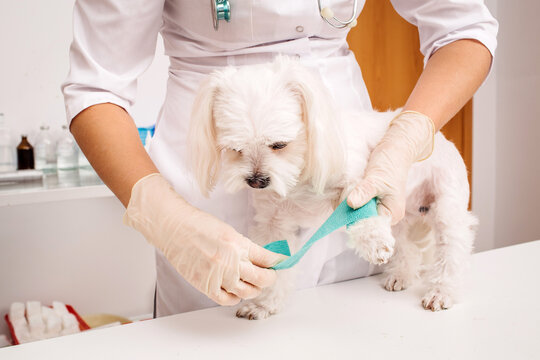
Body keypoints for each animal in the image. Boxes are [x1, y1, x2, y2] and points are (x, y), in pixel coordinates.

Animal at [189, 55, 476, 318]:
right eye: (235, 149)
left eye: (279, 145)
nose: (256, 181)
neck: (299, 175)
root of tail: (438, 136)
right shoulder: (273, 222)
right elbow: (277, 262)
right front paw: (263, 303)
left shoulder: (357, 186)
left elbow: (361, 214)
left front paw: (374, 243)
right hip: (401, 217)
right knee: (409, 248)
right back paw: (402, 275)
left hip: (447, 207)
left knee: (452, 250)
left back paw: (441, 291)